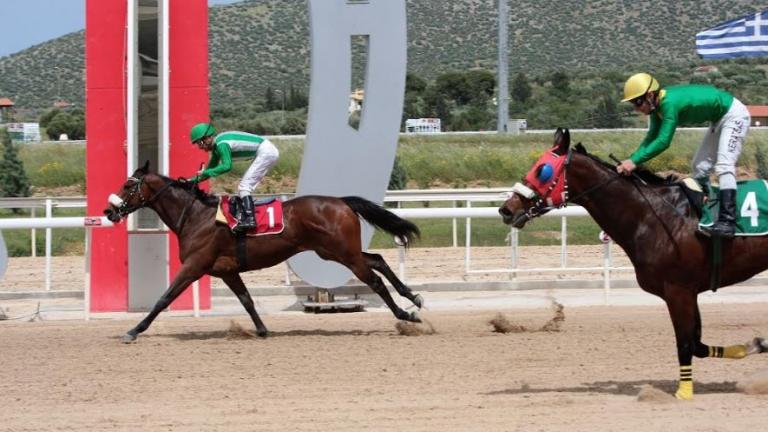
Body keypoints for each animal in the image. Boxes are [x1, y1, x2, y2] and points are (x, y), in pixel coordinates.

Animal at [103, 160, 424, 342]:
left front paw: (133, 331)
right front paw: (261, 330)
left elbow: (163, 298)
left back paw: (405, 315)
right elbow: (247, 300)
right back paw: (413, 298)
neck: (195, 216)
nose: (109, 211)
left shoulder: (194, 266)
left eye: (128, 184)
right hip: (336, 251)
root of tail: (342, 202)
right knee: (378, 260)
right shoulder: (227, 271)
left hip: (343, 253)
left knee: (374, 279)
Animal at [498, 129, 768, 402]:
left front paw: (683, 392)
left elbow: (685, 343)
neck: (653, 215)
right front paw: (756, 344)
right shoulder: (690, 291)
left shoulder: (678, 290)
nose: (506, 210)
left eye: (542, 170)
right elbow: (698, 345)